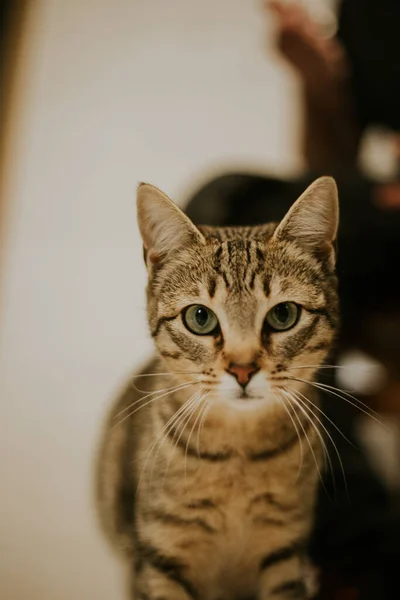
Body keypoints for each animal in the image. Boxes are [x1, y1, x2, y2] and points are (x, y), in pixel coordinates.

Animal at [96, 177, 338, 600]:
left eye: (283, 314)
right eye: (200, 317)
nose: (242, 369)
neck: (238, 458)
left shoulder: (285, 551)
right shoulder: (160, 557)